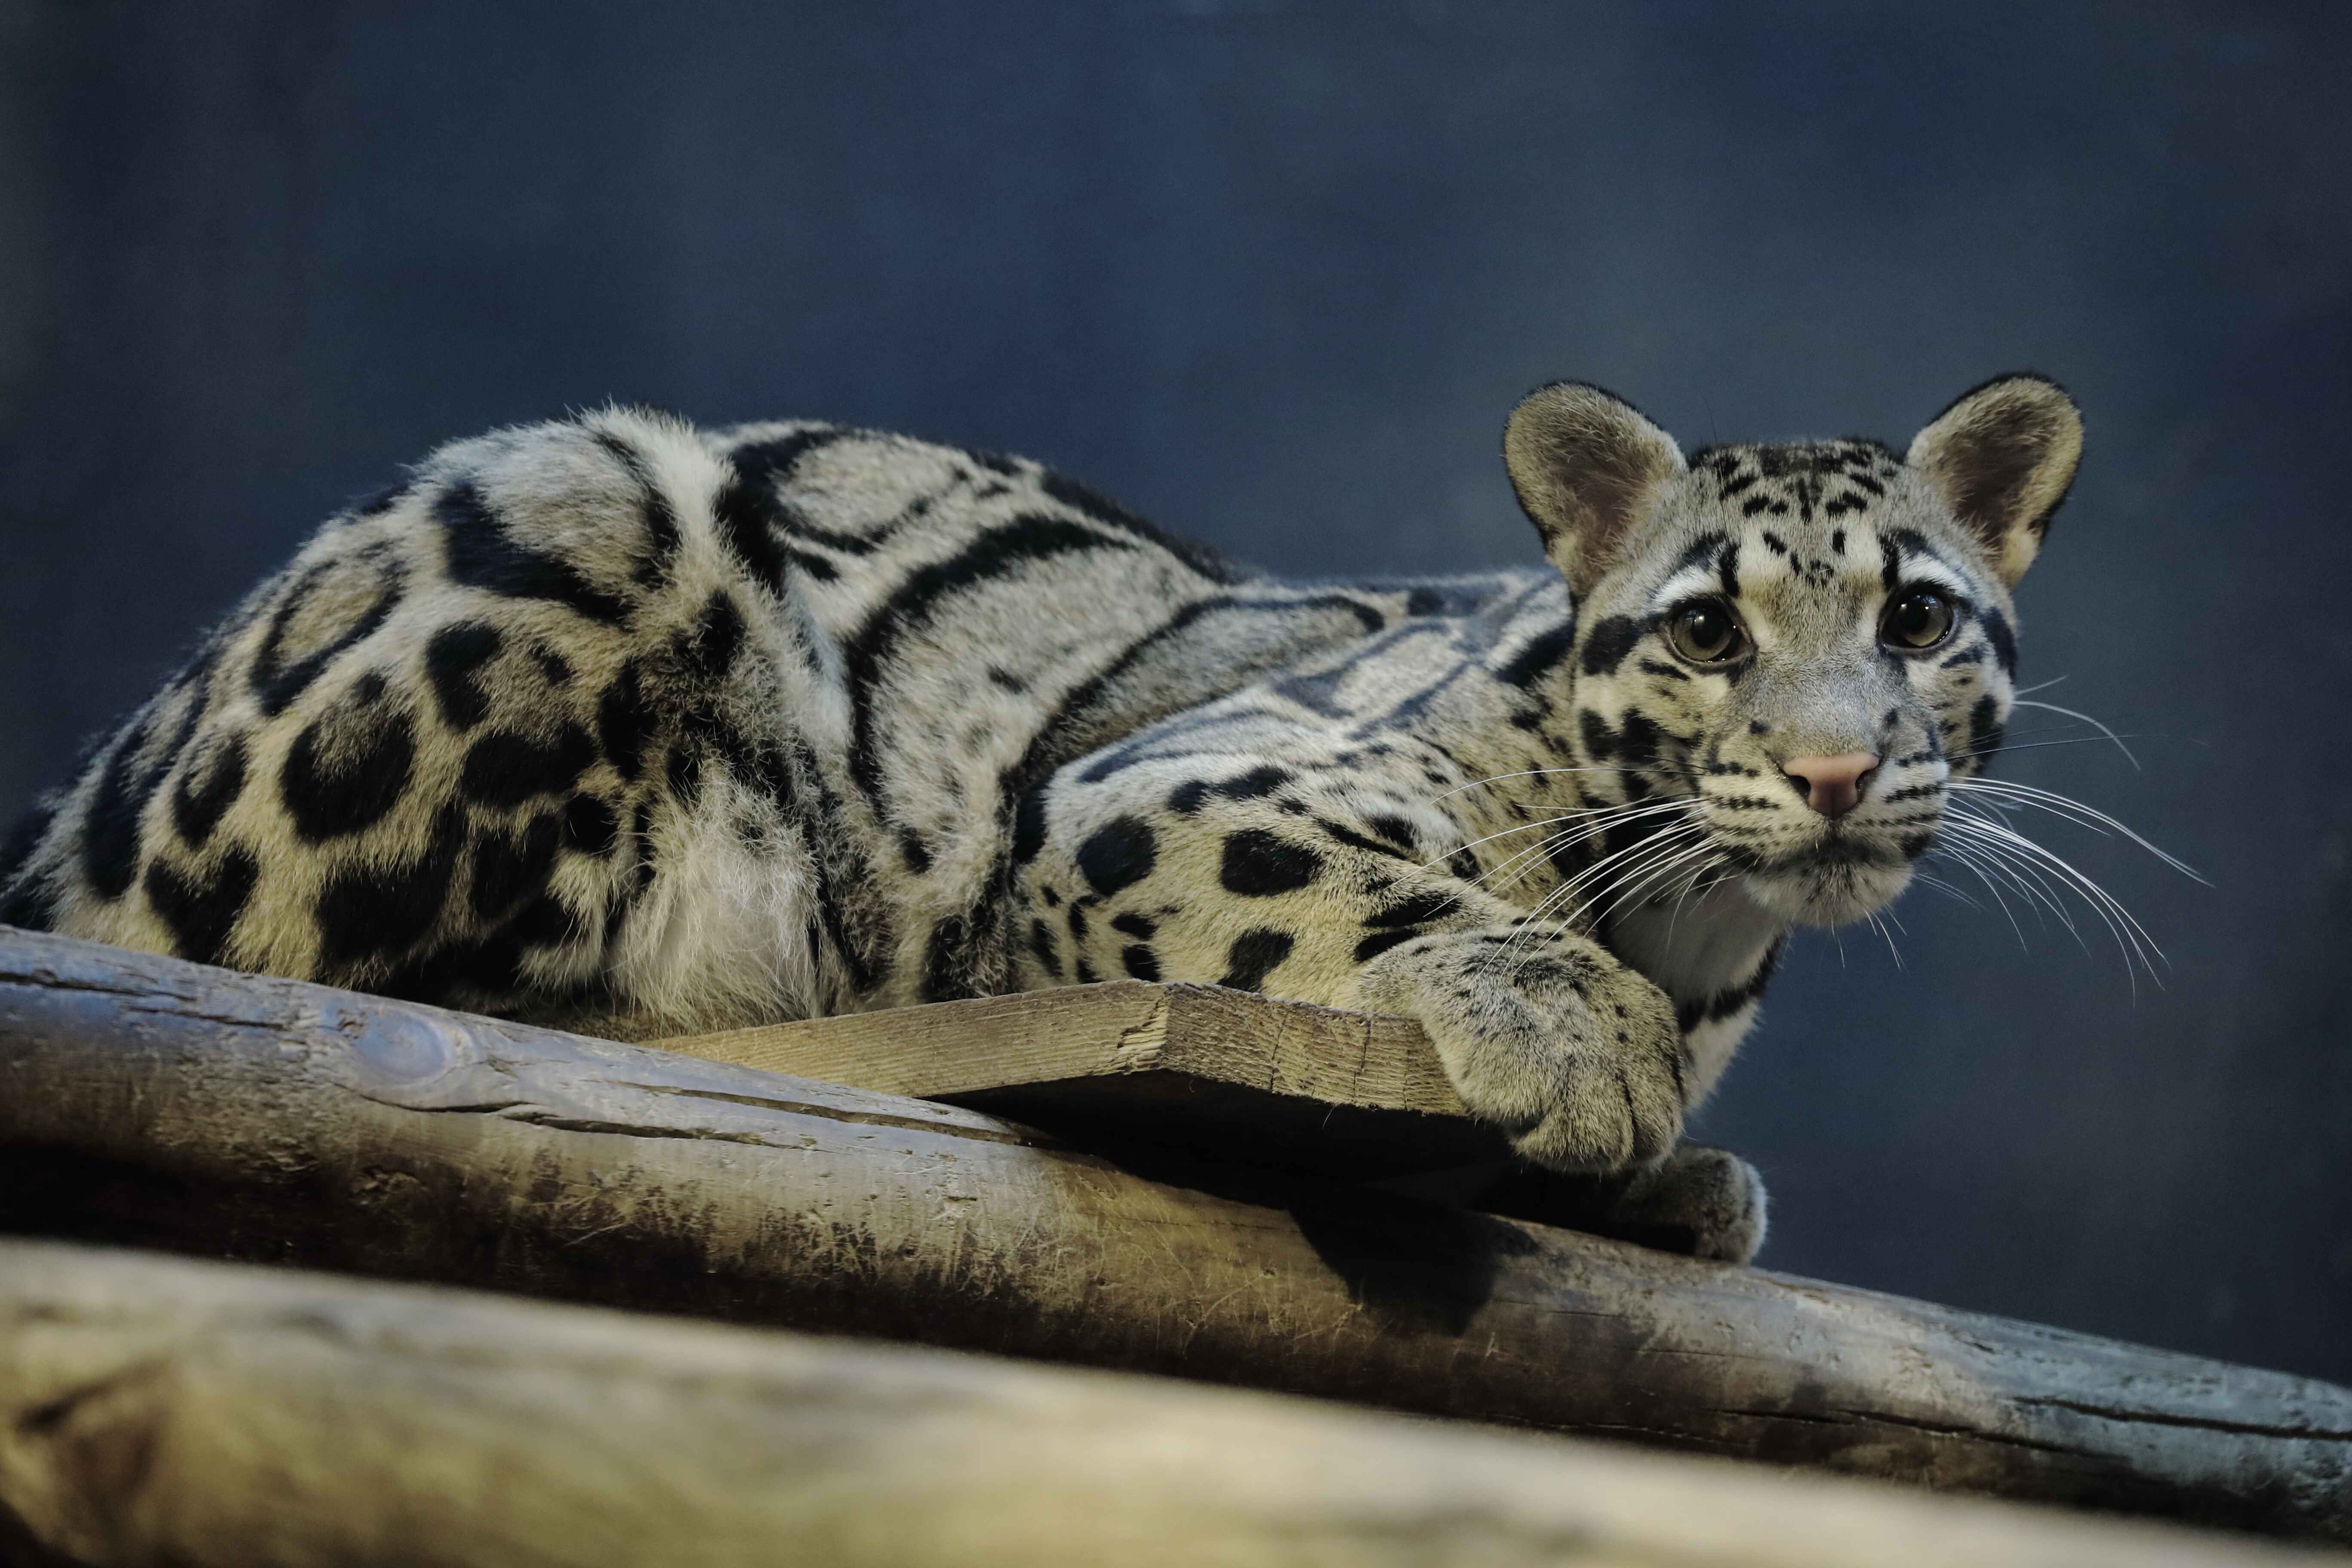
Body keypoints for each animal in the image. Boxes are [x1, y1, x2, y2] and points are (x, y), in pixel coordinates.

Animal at [9, 371, 2089, 1260]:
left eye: (1911, 620)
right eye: (1705, 629)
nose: (1832, 769)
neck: (1701, 920)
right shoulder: (1147, 790)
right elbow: (1380, 891)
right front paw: (1576, 1030)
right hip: (565, 496)